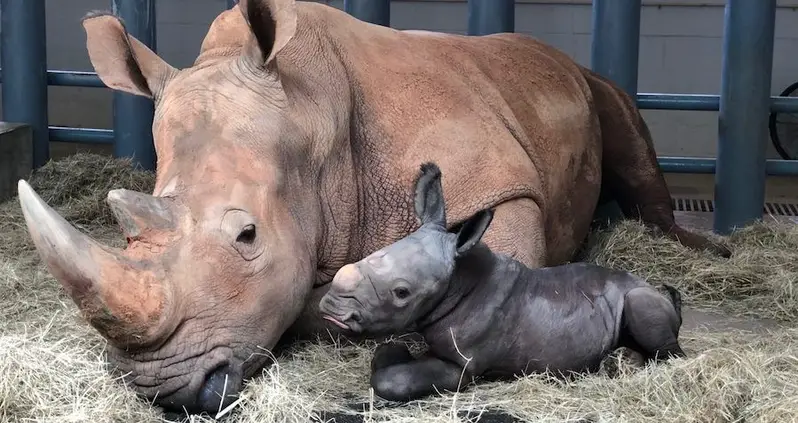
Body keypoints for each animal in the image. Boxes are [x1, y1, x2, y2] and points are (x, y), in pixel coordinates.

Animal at [319, 162, 686, 402]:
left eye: (401, 292)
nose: (330, 309)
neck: (458, 280)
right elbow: (385, 353)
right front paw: (396, 350)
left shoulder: (463, 366)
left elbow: (392, 381)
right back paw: (617, 361)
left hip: (640, 295)